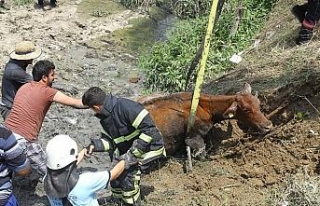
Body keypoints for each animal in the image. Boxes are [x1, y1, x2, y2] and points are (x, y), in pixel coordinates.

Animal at [138, 83, 272, 157]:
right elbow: (202, 155)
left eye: (258, 103)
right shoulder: (193, 137)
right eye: (245, 109)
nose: (268, 125)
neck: (207, 109)